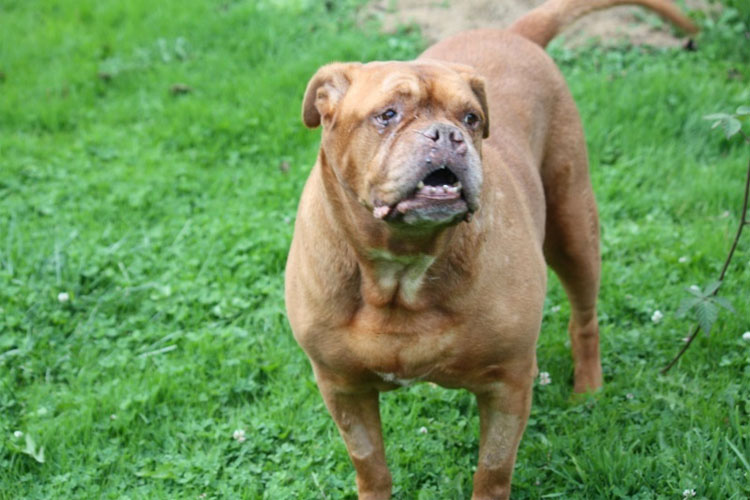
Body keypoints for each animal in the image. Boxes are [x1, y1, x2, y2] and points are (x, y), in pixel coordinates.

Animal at [284, 1, 696, 498]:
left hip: (574, 227)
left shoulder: (508, 382)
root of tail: (516, 32)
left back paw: (588, 388)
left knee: (585, 316)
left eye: (470, 118)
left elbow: (494, 469)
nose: (446, 135)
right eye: (388, 114)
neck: (402, 267)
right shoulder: (343, 388)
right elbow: (371, 465)